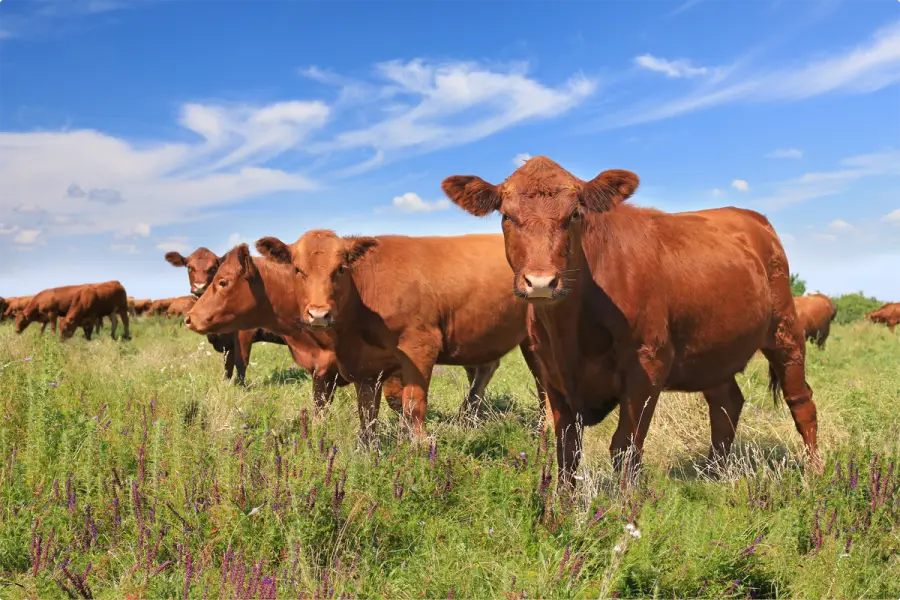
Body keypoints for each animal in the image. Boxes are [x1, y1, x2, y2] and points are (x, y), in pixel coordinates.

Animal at [254, 230, 550, 442]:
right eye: (297, 269)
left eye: (340, 268)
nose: (318, 314)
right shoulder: (366, 367)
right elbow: (368, 413)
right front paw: (368, 452)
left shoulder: (419, 347)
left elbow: (413, 405)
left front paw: (420, 449)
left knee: (544, 383)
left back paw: (545, 430)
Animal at [441, 155, 821, 487]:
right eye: (506, 216)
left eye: (575, 213)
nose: (541, 282)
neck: (570, 332)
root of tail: (748, 216)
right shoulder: (551, 375)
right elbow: (566, 452)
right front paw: (560, 513)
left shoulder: (647, 368)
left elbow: (625, 449)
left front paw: (625, 513)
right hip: (712, 349)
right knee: (726, 402)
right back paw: (715, 474)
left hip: (785, 330)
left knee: (801, 402)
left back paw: (814, 476)